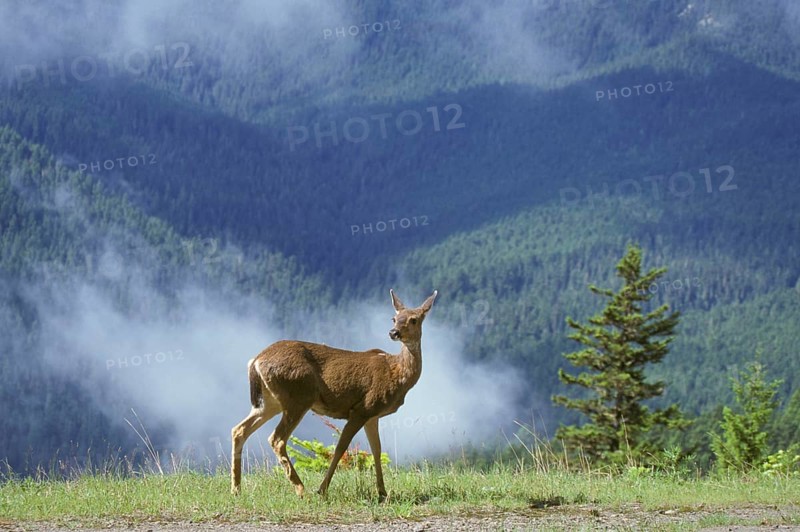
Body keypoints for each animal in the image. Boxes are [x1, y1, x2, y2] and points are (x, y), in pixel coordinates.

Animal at [231, 289, 437, 500]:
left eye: (413, 319)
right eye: (394, 318)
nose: (393, 332)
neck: (396, 373)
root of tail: (256, 361)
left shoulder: (373, 415)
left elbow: (377, 450)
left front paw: (382, 492)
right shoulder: (362, 408)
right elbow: (340, 448)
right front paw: (322, 489)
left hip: (270, 402)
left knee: (239, 430)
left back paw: (236, 489)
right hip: (299, 396)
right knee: (277, 439)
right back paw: (301, 489)